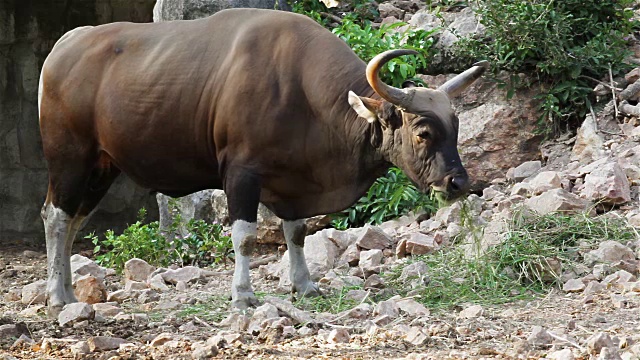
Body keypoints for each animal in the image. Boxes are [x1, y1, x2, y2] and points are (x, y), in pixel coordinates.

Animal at [40, 7, 488, 316]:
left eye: (456, 127)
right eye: (423, 133)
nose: (458, 183)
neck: (301, 90)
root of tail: (62, 49)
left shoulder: (296, 181)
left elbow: (297, 233)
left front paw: (304, 285)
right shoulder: (241, 173)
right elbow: (245, 236)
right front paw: (243, 294)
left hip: (102, 166)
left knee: (74, 220)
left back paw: (68, 291)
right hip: (69, 158)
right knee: (56, 217)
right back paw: (57, 295)